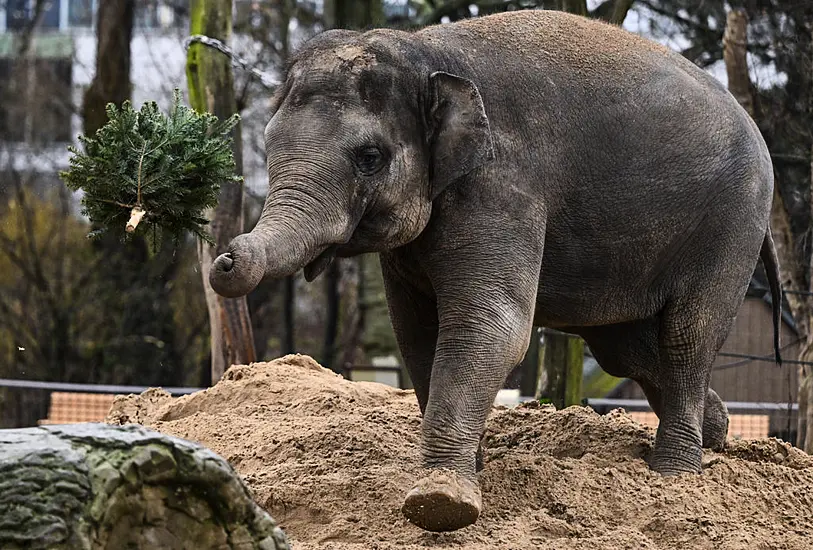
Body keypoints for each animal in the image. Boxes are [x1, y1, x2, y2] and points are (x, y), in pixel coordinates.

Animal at [208, 8, 780, 536]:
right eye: (268, 142)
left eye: (369, 156)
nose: (225, 259)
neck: (426, 53)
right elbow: (418, 333)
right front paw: (467, 472)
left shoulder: (503, 182)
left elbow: (488, 326)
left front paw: (440, 503)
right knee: (625, 348)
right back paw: (717, 433)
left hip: (733, 223)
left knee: (686, 336)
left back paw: (674, 473)